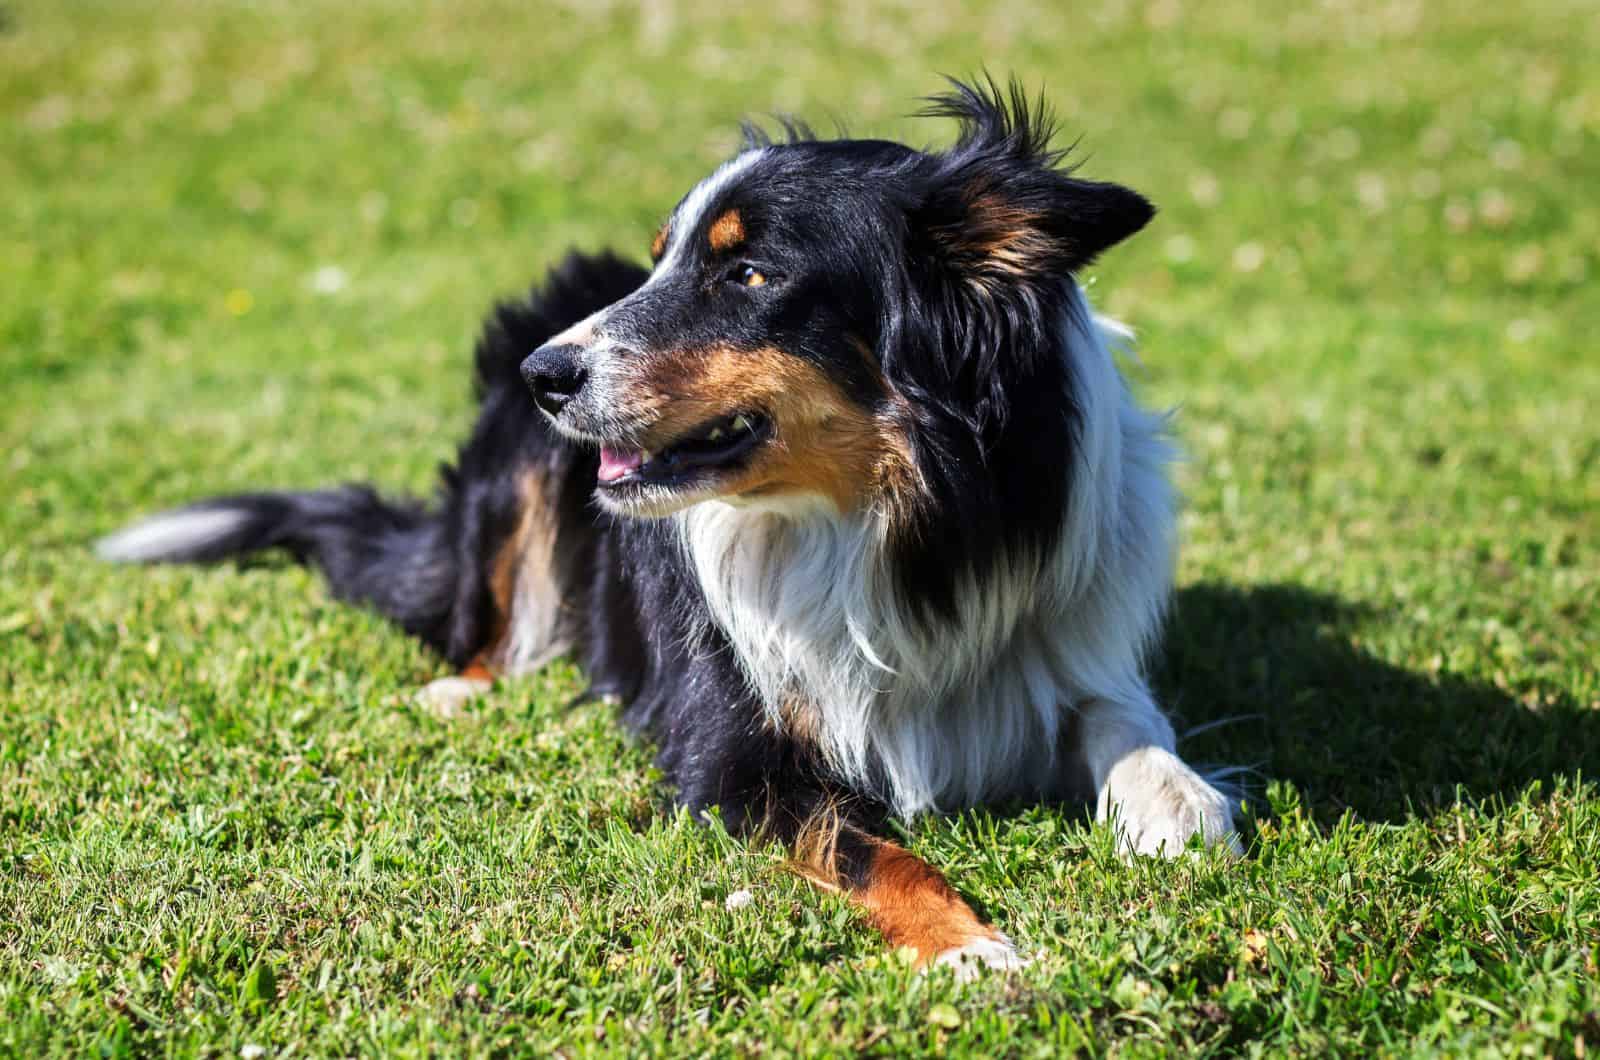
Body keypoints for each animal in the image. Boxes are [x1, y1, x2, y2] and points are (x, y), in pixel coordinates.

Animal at [103, 80, 1235, 979]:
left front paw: (1179, 802)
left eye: (748, 274)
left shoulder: (1063, 626)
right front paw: (967, 945)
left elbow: (1122, 716)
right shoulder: (732, 755)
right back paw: (462, 685)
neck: (891, 522)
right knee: (485, 616)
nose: (547, 377)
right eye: (663, 265)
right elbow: (877, 850)